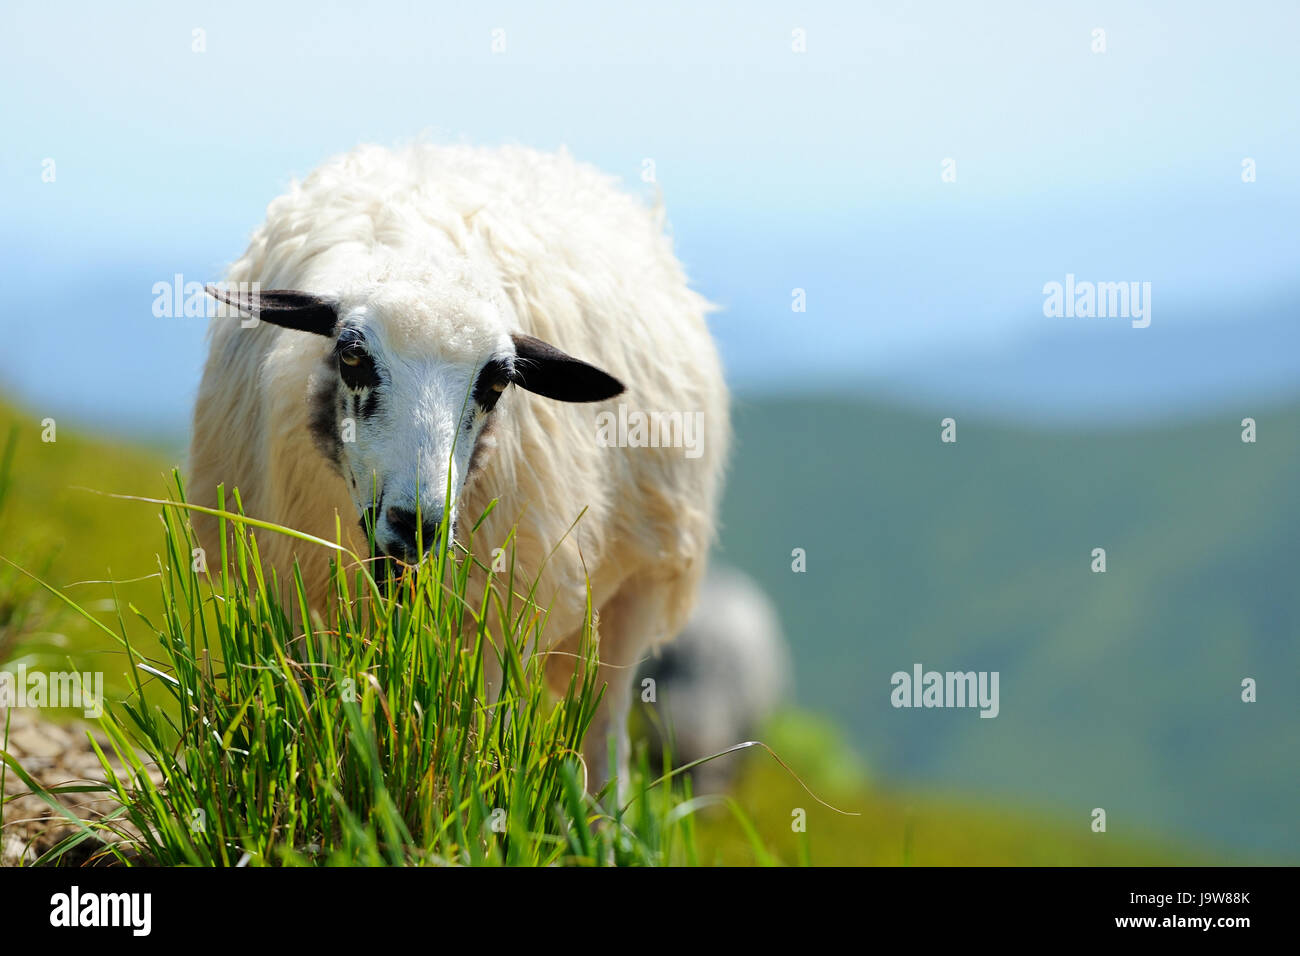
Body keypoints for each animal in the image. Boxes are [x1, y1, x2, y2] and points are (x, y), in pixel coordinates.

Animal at [188, 143, 730, 788]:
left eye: (497, 383)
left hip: (642, 581)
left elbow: (477, 733)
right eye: (351, 355)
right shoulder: (294, 585)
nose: (416, 526)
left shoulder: (503, 607)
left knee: (607, 736)